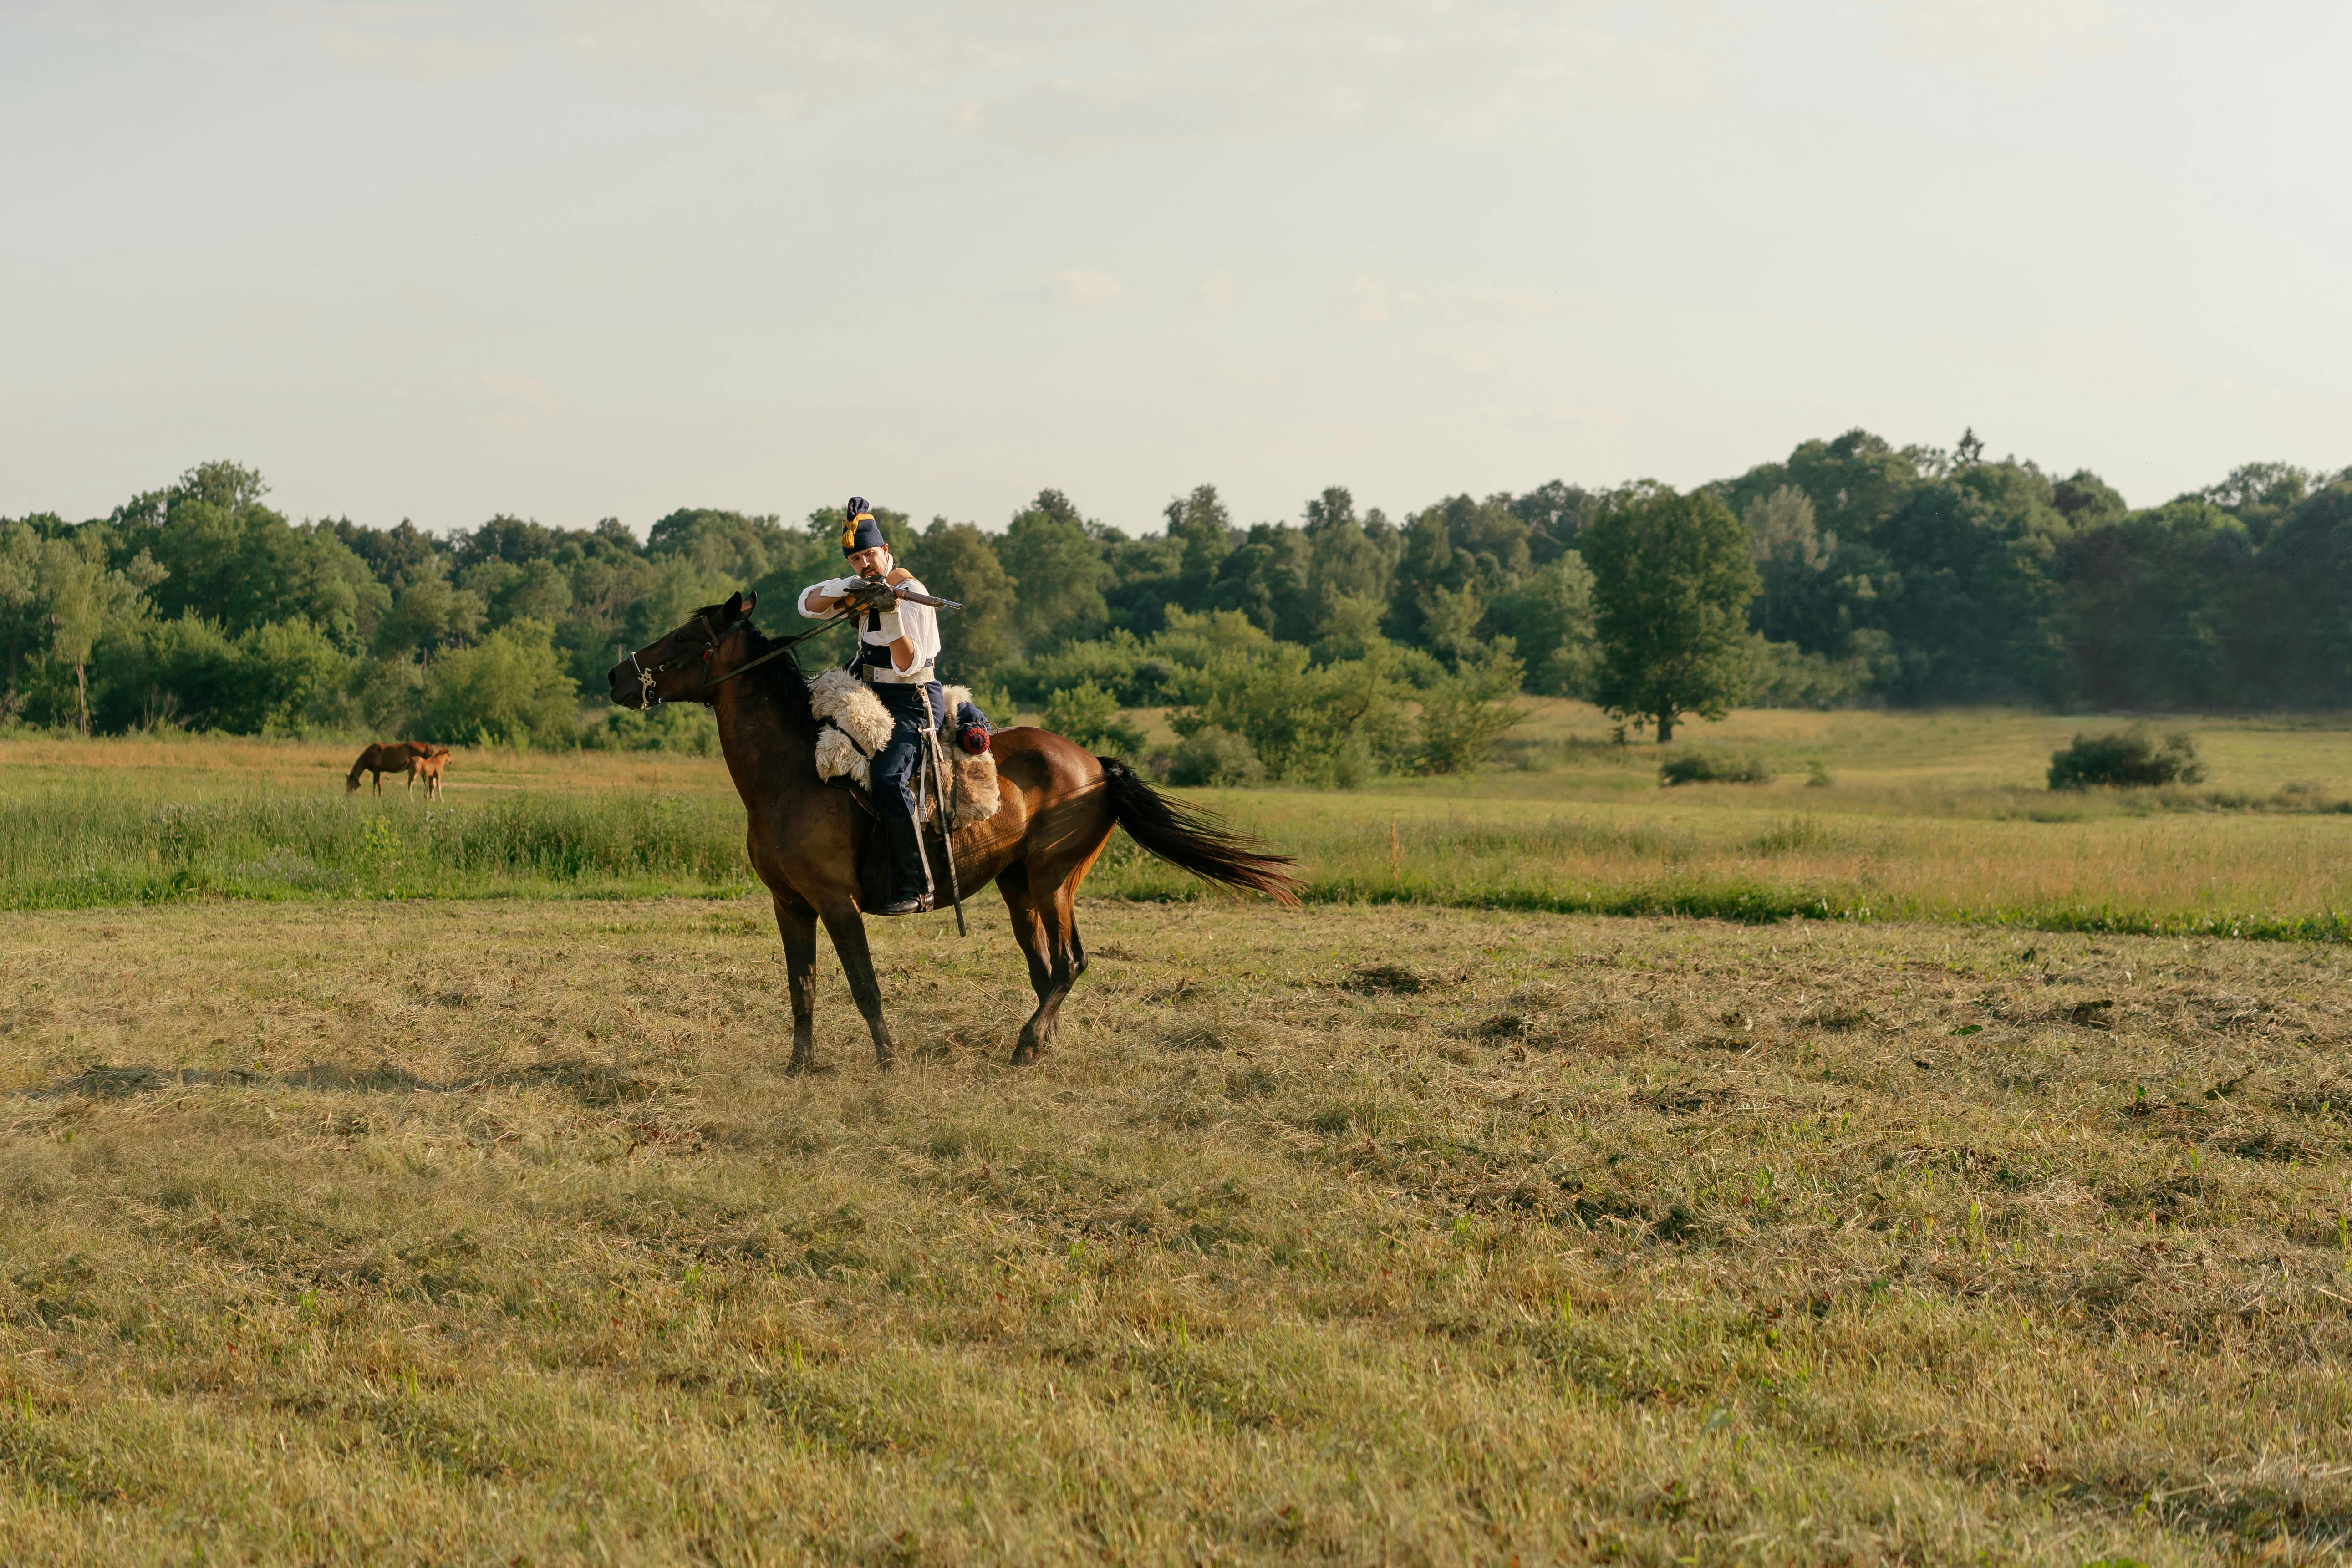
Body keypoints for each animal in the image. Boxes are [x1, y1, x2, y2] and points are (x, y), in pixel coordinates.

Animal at [348, 747, 442, 799]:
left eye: (349, 783)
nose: (348, 795)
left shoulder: (376, 770)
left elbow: (376, 784)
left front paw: (375, 796)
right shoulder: (378, 771)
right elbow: (379, 783)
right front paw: (381, 795)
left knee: (429, 784)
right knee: (430, 784)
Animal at [606, 595, 1308, 1072]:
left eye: (685, 636)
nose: (617, 676)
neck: (792, 772)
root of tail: (1094, 766)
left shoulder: (837, 904)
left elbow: (863, 985)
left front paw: (889, 1066)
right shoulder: (791, 906)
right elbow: (801, 989)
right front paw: (797, 1070)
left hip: (1054, 881)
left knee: (1069, 963)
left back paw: (1027, 1045)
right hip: (1020, 887)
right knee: (1047, 970)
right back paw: (1040, 1046)